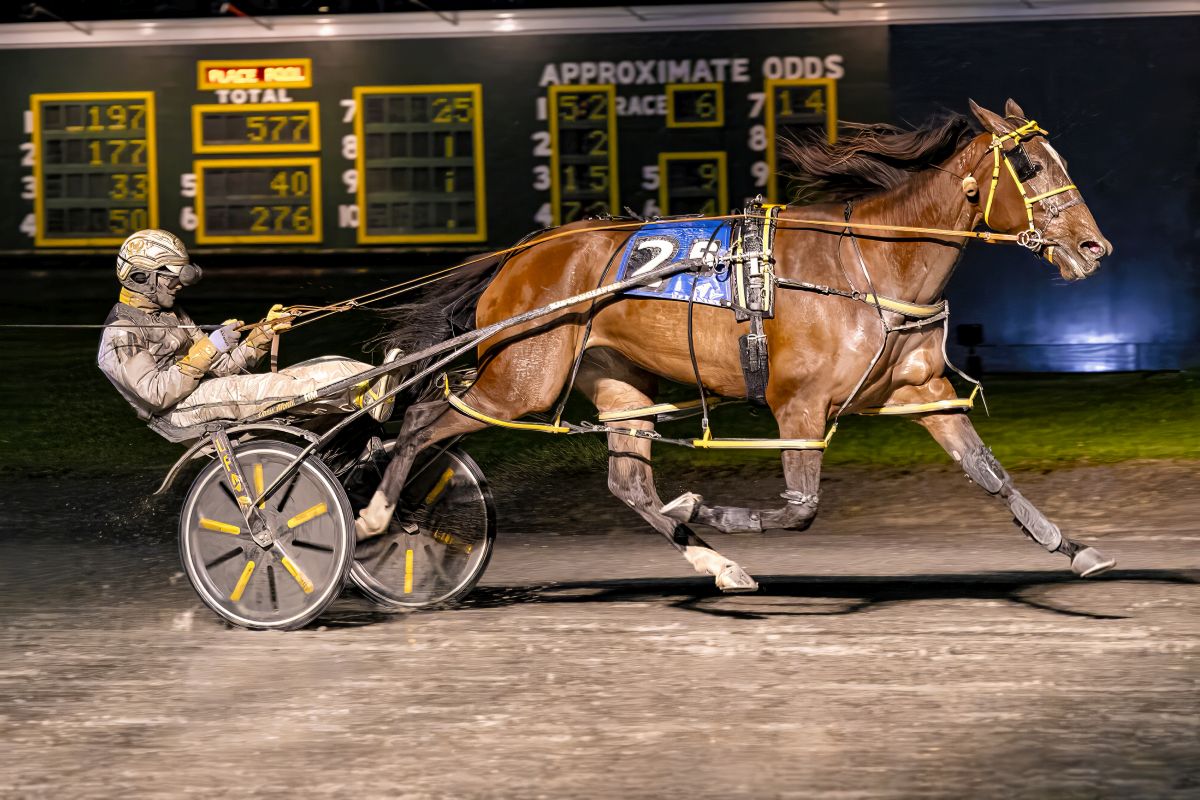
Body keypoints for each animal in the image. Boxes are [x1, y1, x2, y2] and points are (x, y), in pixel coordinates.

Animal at [355, 98, 1116, 591]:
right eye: (1031, 166)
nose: (1093, 248)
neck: (868, 265)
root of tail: (519, 256)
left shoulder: (919, 390)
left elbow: (989, 472)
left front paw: (1074, 548)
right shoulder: (797, 405)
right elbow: (800, 508)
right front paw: (699, 506)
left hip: (619, 380)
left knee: (628, 483)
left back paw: (717, 564)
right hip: (522, 378)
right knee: (420, 422)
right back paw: (377, 515)